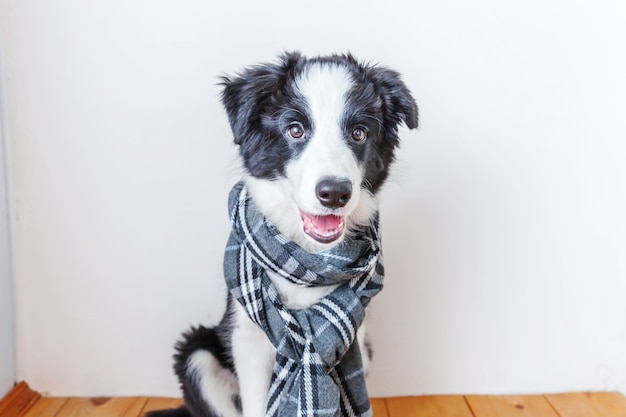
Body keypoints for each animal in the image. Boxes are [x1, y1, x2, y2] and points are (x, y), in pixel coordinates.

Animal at [149, 52, 416, 416]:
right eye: (295, 130)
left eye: (359, 133)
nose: (334, 193)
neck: (306, 257)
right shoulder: (248, 339)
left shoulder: (355, 339)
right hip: (197, 353)